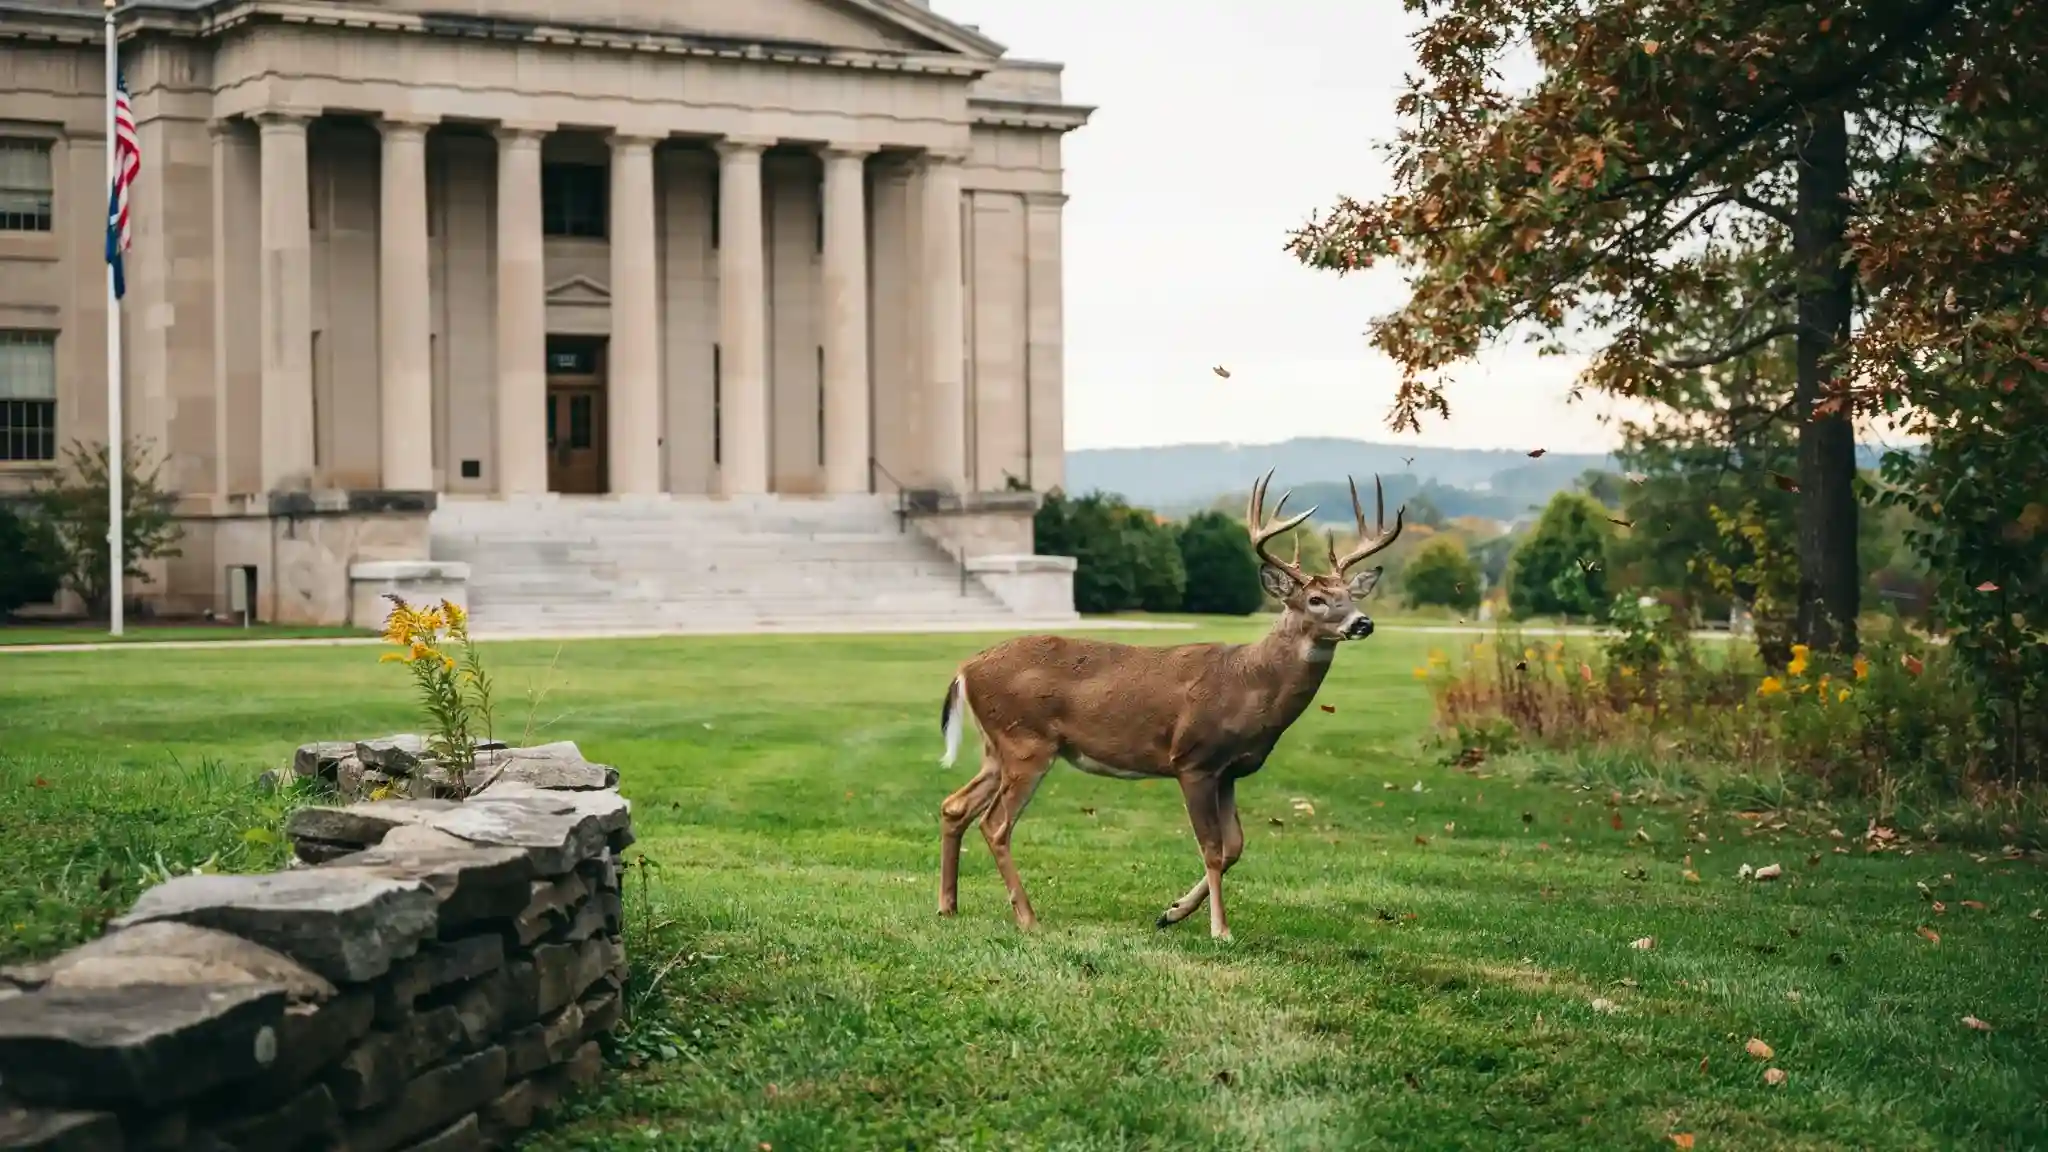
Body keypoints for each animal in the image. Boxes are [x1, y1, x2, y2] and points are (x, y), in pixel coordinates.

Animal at [934, 469, 1405, 940]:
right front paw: (1219, 929)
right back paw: (1027, 917)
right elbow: (1213, 848)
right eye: (1316, 600)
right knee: (995, 824)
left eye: (1351, 595)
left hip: (998, 748)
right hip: (1026, 743)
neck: (1250, 684)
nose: (1362, 622)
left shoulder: (1229, 771)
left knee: (955, 806)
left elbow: (1235, 847)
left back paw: (948, 906)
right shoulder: (1193, 760)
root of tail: (964, 669)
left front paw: (1172, 911)